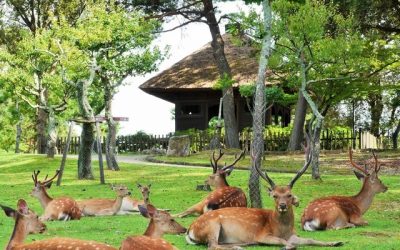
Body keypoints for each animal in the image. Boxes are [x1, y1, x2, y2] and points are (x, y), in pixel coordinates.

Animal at [186, 140, 342, 249]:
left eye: (289, 195)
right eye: (275, 195)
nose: (282, 206)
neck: (281, 229)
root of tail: (189, 230)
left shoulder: (293, 235)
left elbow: (311, 239)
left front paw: (336, 242)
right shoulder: (263, 235)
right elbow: (284, 242)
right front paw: (287, 246)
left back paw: (244, 245)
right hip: (212, 225)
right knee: (212, 245)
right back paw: (240, 247)